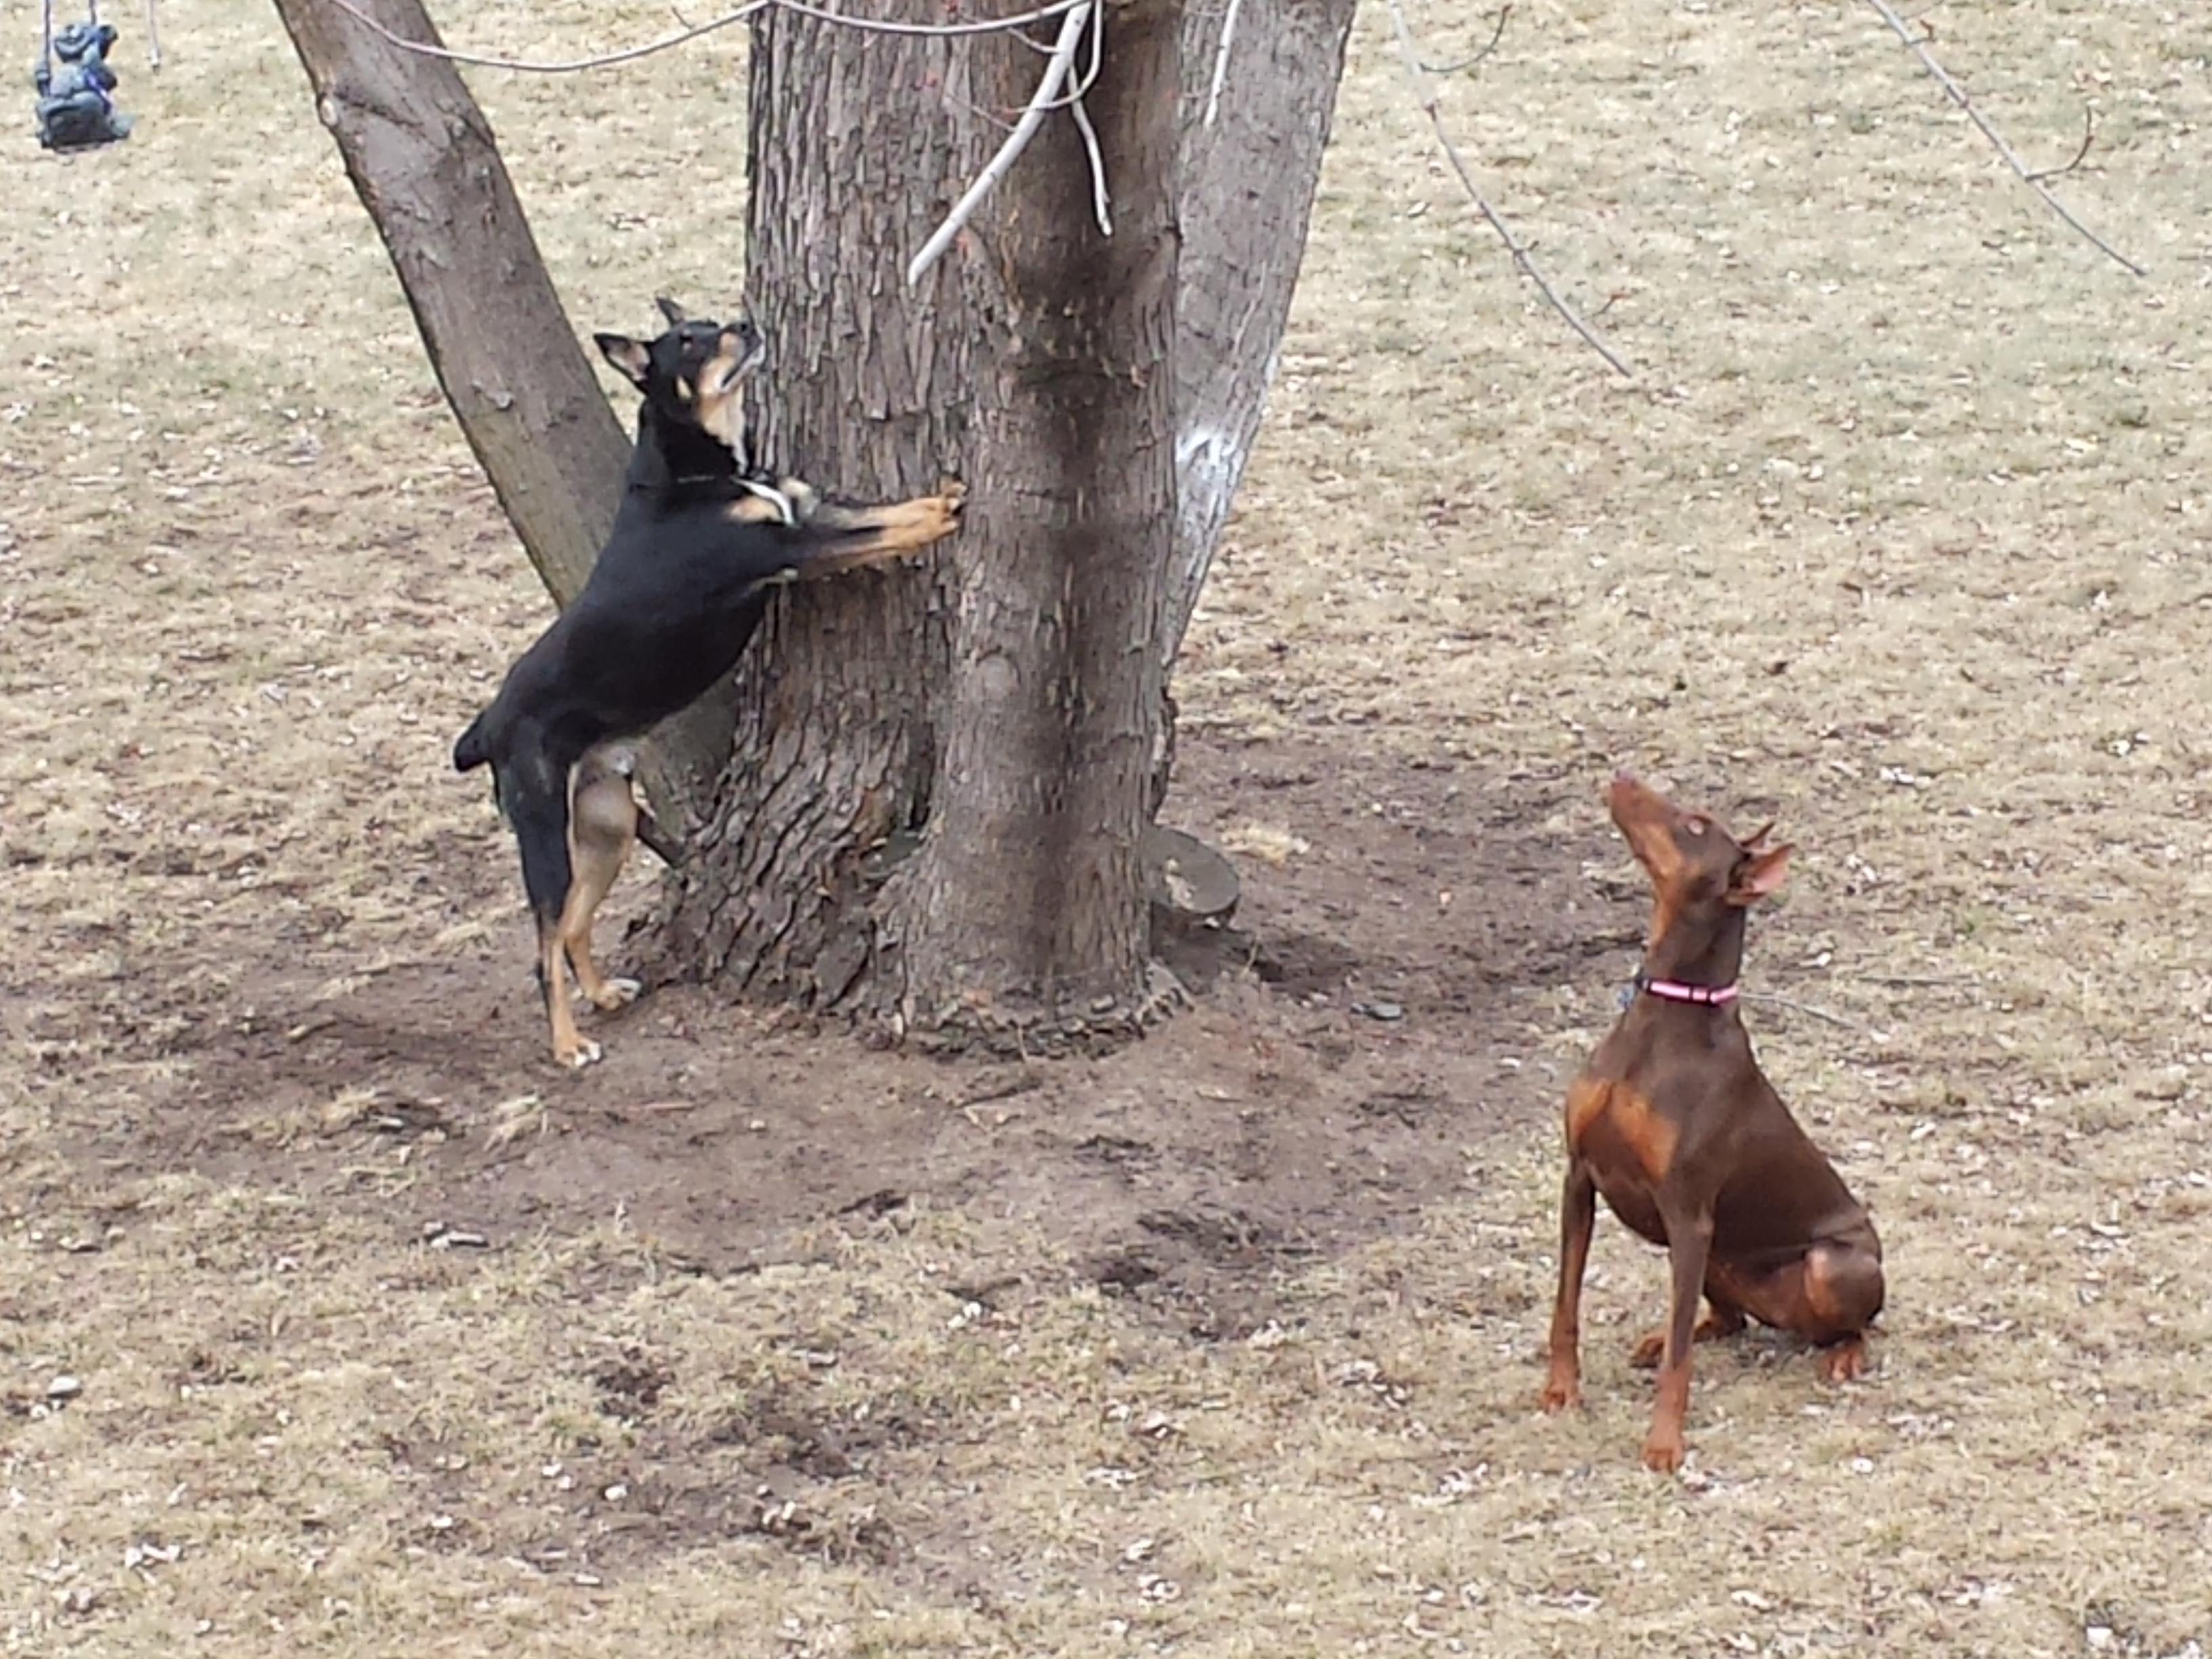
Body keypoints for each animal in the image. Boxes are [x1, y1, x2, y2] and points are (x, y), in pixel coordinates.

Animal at [454, 306, 966, 1068]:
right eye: (691, 342)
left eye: (709, 321)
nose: (748, 325)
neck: (697, 475)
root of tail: (488, 724)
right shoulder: (791, 551)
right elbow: (882, 534)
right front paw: (939, 520)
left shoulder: (808, 516)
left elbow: (880, 512)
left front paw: (940, 497)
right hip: (545, 835)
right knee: (543, 949)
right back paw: (568, 1045)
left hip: (605, 825)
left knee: (573, 927)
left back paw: (604, 995)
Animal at [1540, 773, 1885, 1472]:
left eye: (1697, 824)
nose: (1620, 775)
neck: (1667, 1011)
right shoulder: (1579, 1179)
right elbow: (1566, 1304)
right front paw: (1561, 1389)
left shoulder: (1688, 1213)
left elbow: (1680, 1364)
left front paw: (1663, 1443)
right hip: (1715, 1259)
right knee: (1726, 1321)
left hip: (1828, 1263)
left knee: (1853, 1324)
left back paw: (1844, 1354)